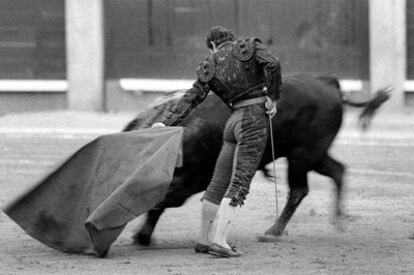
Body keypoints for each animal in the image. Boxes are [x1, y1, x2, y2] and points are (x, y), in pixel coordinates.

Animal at [122, 73, 388, 246]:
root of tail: (329, 84)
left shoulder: (183, 183)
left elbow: (157, 203)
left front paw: (141, 235)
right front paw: (141, 236)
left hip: (303, 156)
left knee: (299, 189)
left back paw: (273, 232)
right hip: (314, 155)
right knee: (338, 171)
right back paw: (339, 220)